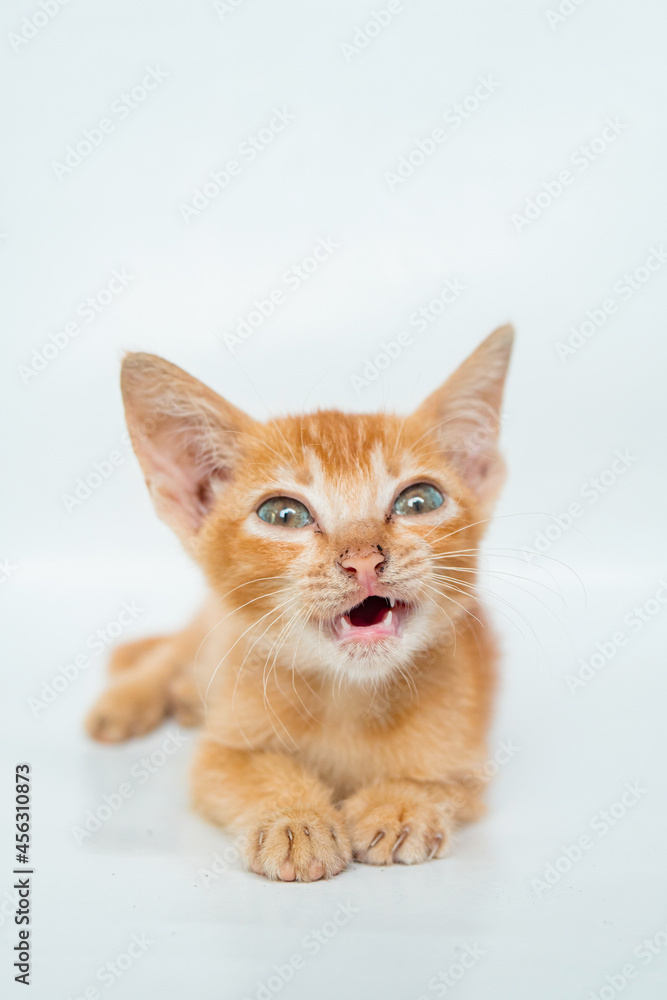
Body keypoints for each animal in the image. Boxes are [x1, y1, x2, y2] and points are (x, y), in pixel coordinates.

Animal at [86, 328, 516, 884]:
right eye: (283, 514)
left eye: (420, 501)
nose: (363, 559)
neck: (348, 698)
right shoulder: (218, 753)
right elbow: (249, 769)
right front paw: (294, 817)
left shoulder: (470, 758)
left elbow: (441, 782)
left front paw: (401, 804)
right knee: (174, 650)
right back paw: (132, 697)